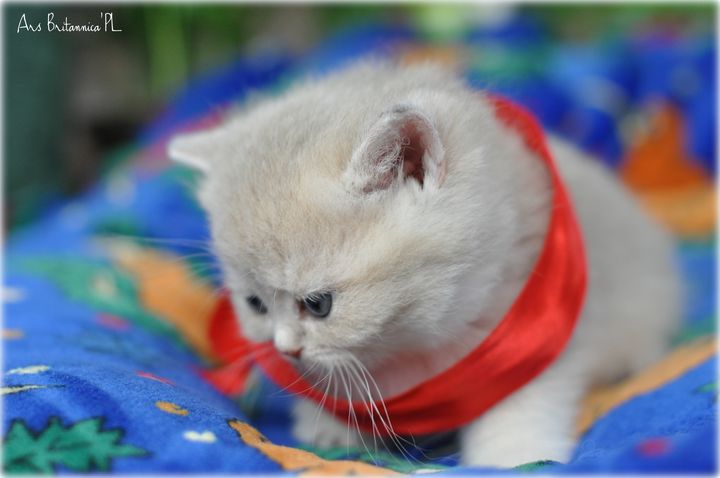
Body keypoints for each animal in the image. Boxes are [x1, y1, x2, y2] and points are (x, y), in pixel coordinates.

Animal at [168, 61, 681, 468]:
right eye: (255, 305)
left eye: (318, 305)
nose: (286, 350)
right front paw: (330, 427)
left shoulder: (534, 332)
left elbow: (521, 405)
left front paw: (514, 457)